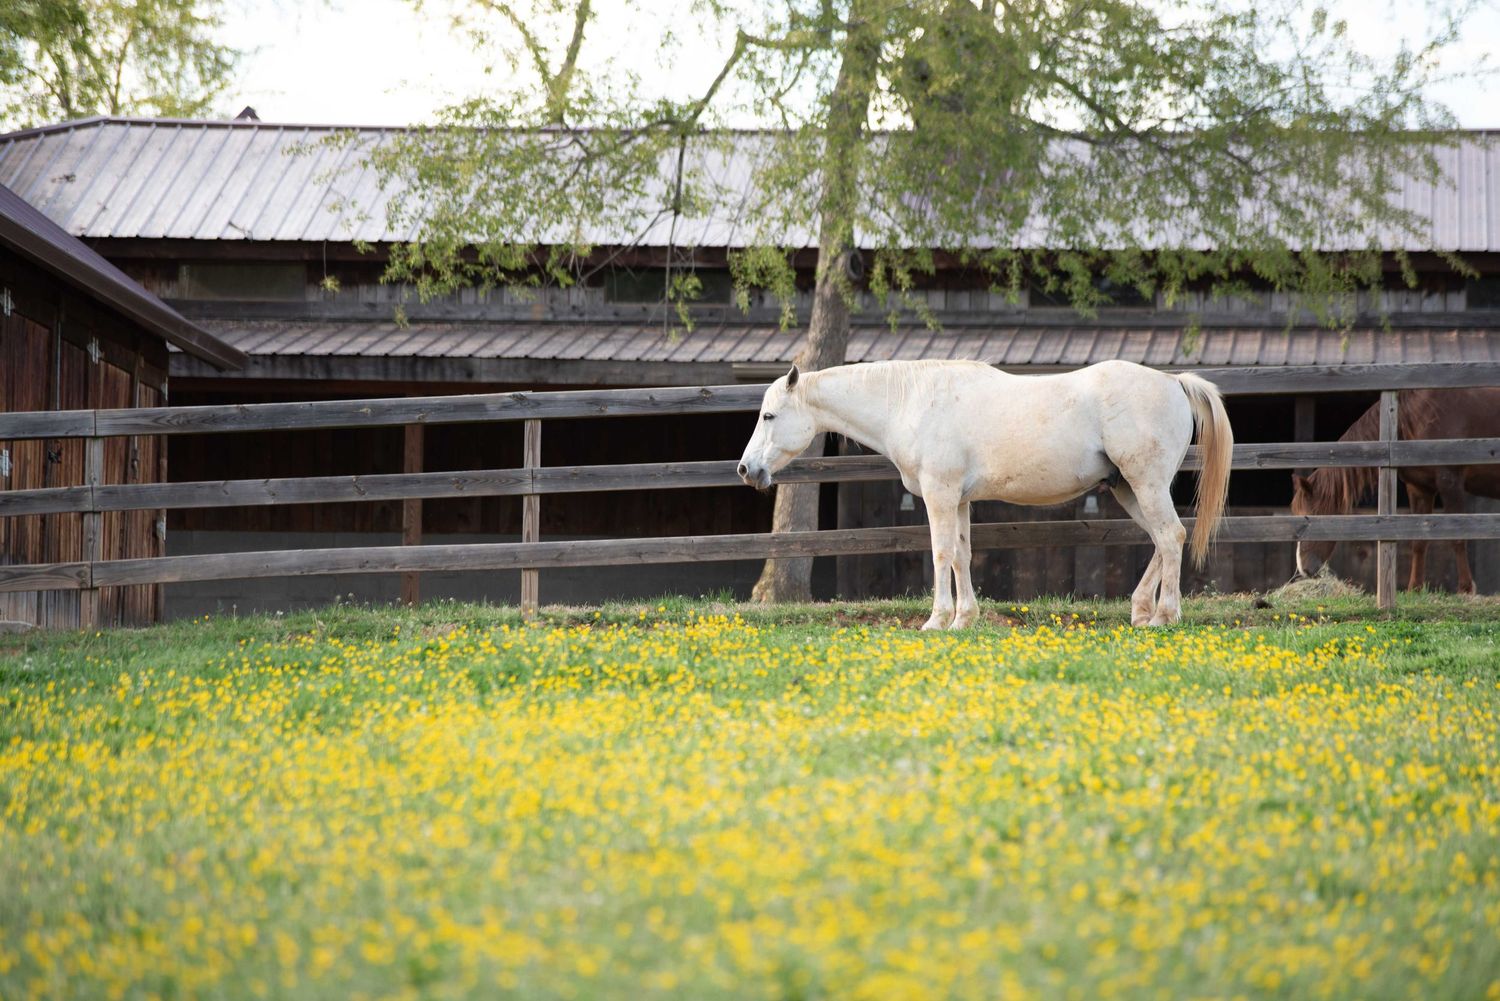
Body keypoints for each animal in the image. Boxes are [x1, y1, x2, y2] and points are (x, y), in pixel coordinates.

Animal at [737, 359, 1233, 628]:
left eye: (768, 416)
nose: (746, 469)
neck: (911, 402)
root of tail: (1173, 382)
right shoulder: (958, 499)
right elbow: (961, 554)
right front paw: (964, 619)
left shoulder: (939, 494)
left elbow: (940, 553)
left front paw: (936, 620)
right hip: (1129, 489)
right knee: (1163, 541)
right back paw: (1142, 611)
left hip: (1145, 484)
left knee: (1170, 537)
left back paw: (1165, 616)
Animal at [1290, 388, 1500, 594]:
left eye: (1311, 517)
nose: (1304, 569)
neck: (1418, 415)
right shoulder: (1419, 489)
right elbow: (1418, 541)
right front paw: (1415, 589)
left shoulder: (1450, 482)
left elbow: (1458, 537)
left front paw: (1466, 589)